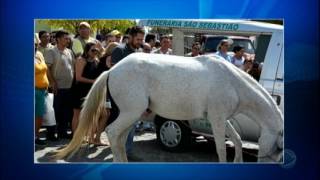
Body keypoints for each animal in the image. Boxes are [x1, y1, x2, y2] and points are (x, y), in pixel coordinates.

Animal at [56, 52, 284, 162]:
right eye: (279, 147)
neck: (232, 81)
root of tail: (112, 70)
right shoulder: (218, 119)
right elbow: (221, 148)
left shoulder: (221, 119)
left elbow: (236, 140)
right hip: (131, 113)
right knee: (112, 133)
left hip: (132, 116)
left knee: (119, 139)